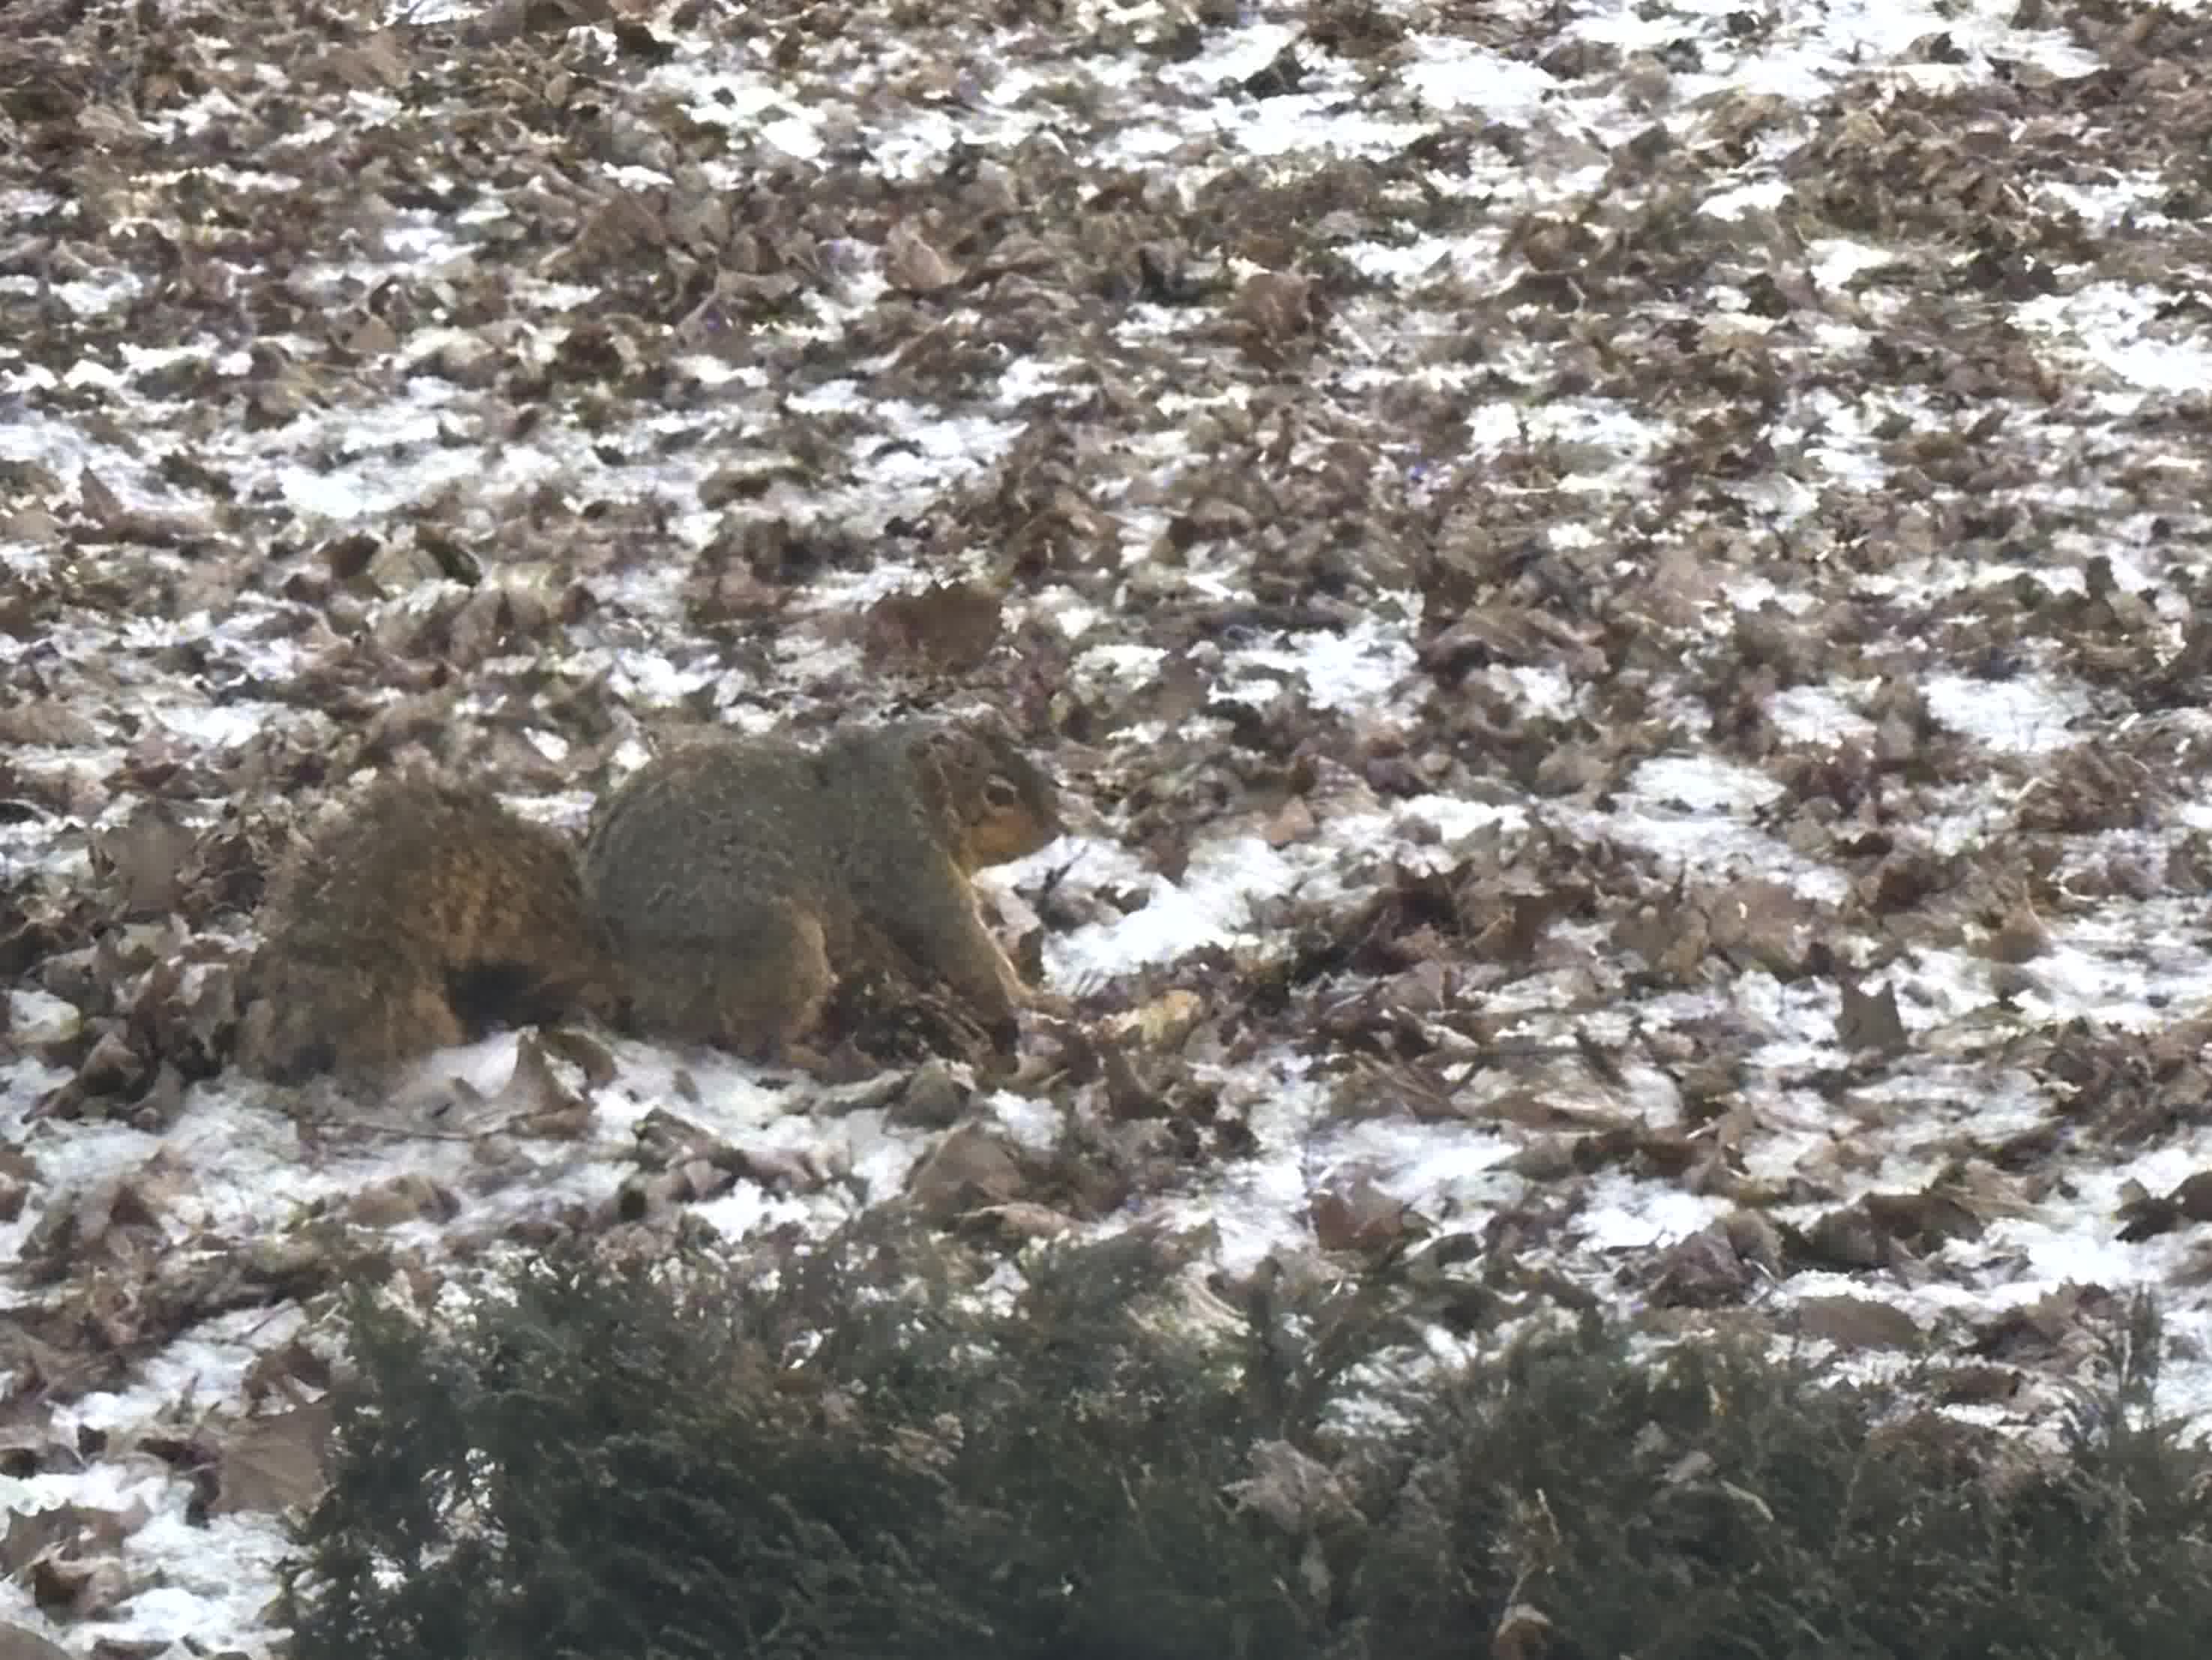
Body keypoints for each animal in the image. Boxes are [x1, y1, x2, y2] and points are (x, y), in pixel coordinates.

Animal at [236, 718, 1064, 1082]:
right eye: (998, 792)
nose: (1060, 823)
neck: (905, 790)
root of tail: (624, 959)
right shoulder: (909, 869)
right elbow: (964, 951)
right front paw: (1036, 1003)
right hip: (781, 947)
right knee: (741, 1036)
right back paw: (819, 1053)